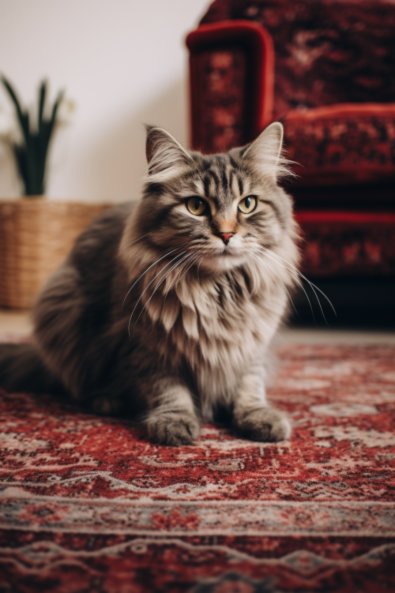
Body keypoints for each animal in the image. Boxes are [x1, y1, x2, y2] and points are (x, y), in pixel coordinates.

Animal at [0, 121, 300, 444]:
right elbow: (168, 390)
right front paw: (174, 422)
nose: (226, 234)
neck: (216, 292)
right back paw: (108, 401)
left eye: (247, 204)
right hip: (63, 310)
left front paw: (259, 417)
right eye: (196, 206)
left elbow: (249, 385)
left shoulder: (252, 345)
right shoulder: (147, 348)